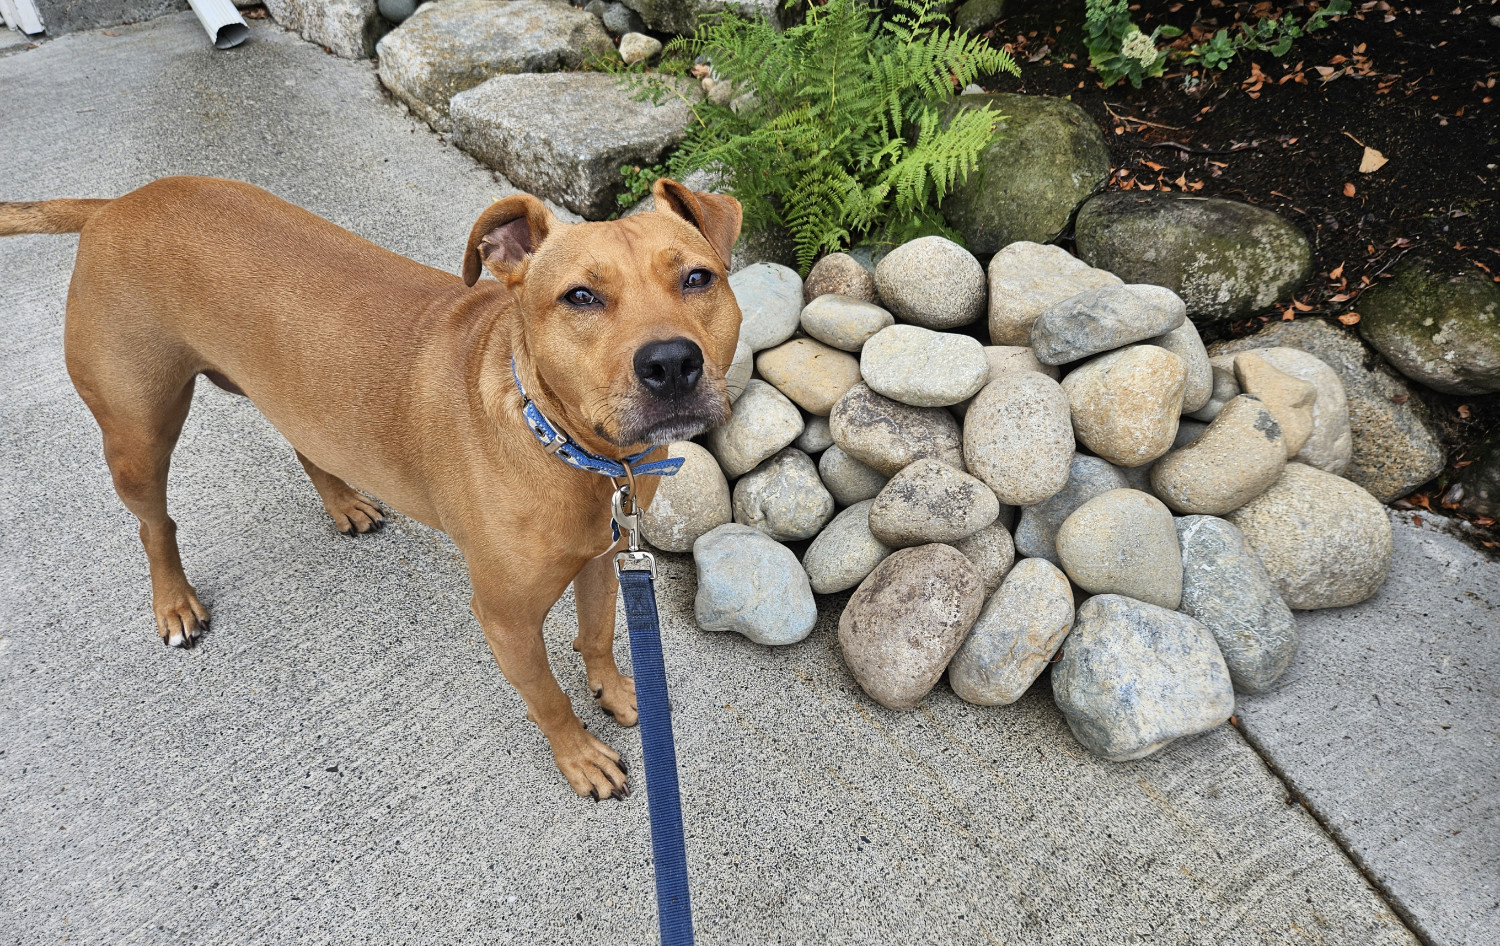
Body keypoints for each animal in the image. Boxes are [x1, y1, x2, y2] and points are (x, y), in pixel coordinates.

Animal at [1, 176, 744, 797]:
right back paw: (175, 601)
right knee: (155, 522)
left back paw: (343, 503)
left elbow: (596, 637)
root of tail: (117, 204)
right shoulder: (505, 619)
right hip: (138, 434)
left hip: (291, 393)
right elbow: (547, 699)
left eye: (698, 278)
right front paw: (581, 756)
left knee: (305, 445)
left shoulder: (601, 559)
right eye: (580, 297)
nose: (671, 362)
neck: (574, 452)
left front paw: (617, 691)